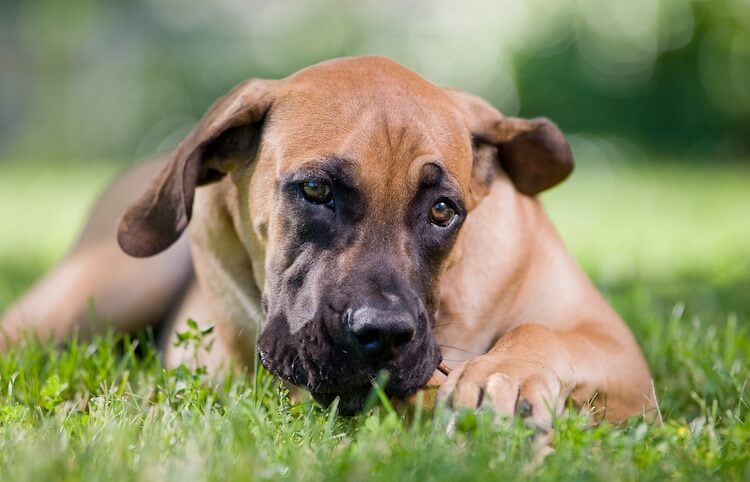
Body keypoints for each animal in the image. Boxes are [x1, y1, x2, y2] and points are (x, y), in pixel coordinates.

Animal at [0, 54, 656, 428]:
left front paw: (507, 375)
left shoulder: (618, 349)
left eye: (443, 211)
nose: (383, 335)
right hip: (105, 286)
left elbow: (542, 331)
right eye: (315, 190)